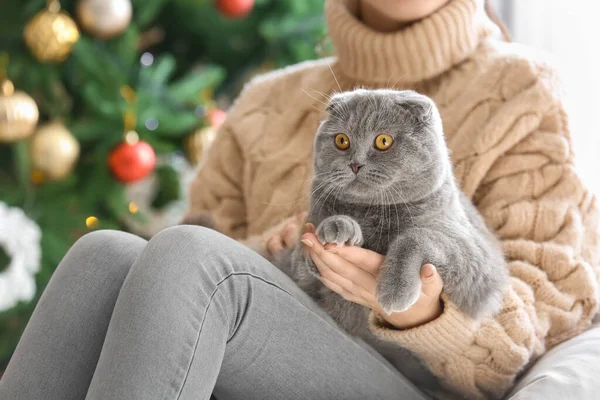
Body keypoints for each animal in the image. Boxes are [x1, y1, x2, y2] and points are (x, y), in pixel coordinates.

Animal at [276, 88, 506, 340]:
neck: (373, 211)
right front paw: (336, 227)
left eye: (383, 141)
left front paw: (394, 291)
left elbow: (415, 236)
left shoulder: (478, 260)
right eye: (342, 140)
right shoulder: (297, 264)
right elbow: (308, 253)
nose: (355, 164)